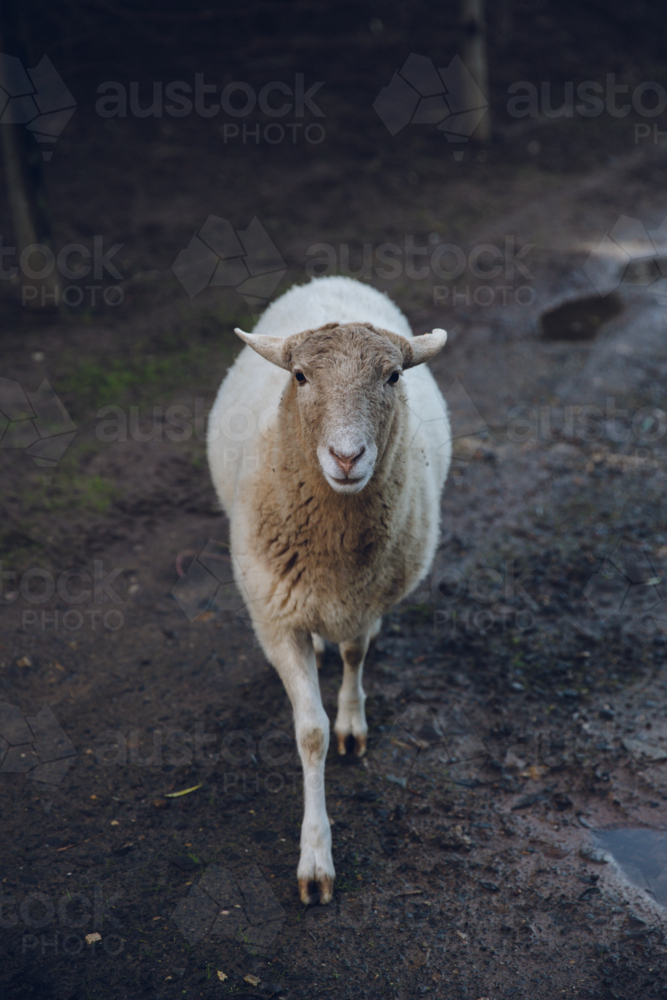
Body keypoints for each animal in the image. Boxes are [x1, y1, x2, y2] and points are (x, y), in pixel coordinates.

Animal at [206, 276, 452, 908]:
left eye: (393, 376)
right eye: (299, 377)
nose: (346, 457)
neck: (334, 547)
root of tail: (330, 281)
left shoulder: (367, 601)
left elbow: (356, 657)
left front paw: (351, 723)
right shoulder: (276, 618)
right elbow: (308, 733)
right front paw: (315, 857)